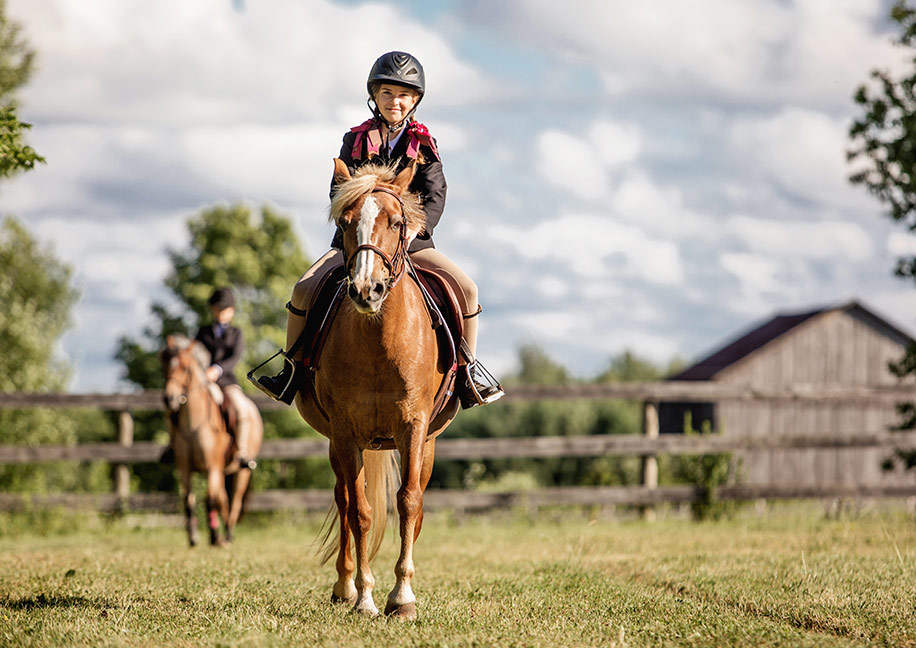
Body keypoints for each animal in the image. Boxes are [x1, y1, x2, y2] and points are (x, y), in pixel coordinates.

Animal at [159, 334, 264, 547]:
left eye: (185, 367)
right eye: (164, 365)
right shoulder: (184, 467)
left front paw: (214, 536)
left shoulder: (212, 467)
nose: (169, 399)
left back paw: (228, 536)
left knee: (234, 502)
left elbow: (209, 500)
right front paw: (194, 537)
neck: (194, 424)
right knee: (224, 500)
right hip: (224, 472)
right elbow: (188, 501)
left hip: (241, 472)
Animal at [293, 159, 460, 620]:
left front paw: (402, 597)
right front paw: (365, 598)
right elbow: (362, 511)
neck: (378, 341)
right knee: (345, 501)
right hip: (338, 445)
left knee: (413, 504)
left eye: (398, 222)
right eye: (345, 222)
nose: (367, 290)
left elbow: (408, 502)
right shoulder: (346, 432)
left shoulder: (414, 428)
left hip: (427, 443)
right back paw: (344, 587)